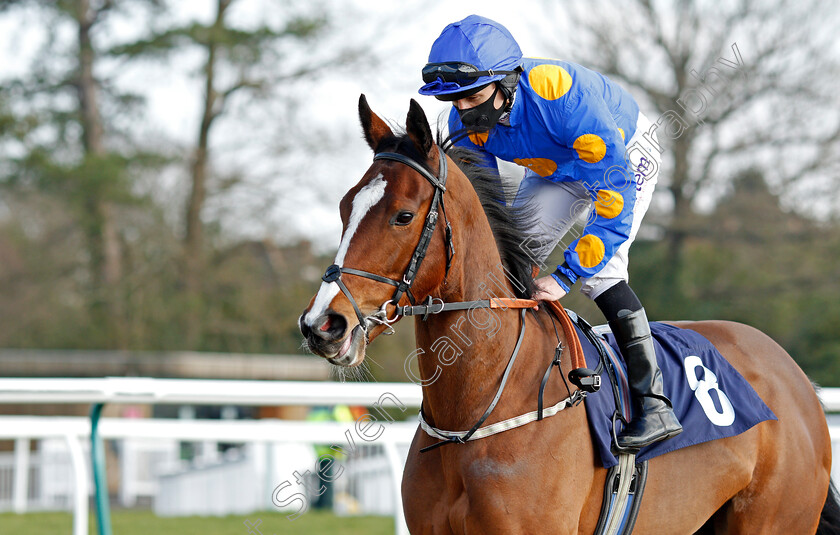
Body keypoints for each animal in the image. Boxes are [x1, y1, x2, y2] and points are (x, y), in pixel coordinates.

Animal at [298, 97, 836, 535]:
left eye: (403, 215)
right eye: (345, 207)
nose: (323, 325)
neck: (476, 410)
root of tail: (794, 376)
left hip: (776, 519)